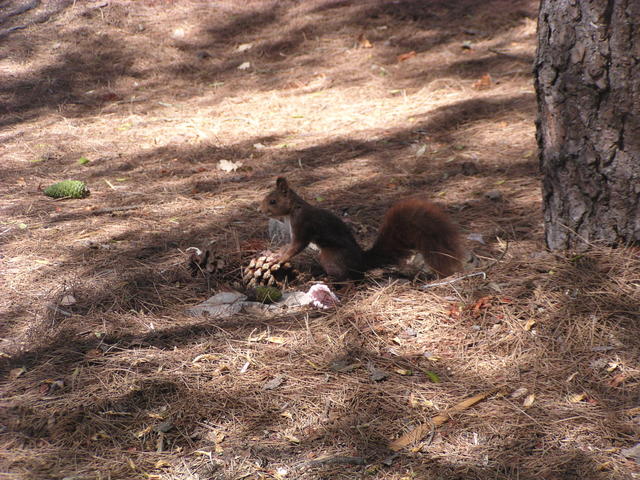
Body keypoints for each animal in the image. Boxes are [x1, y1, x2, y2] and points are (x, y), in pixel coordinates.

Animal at [259, 177, 462, 281]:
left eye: (273, 201)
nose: (260, 211)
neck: (293, 210)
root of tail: (362, 262)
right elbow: (288, 246)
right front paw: (273, 253)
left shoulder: (303, 226)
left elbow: (296, 247)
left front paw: (278, 258)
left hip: (330, 256)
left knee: (350, 278)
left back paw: (331, 280)